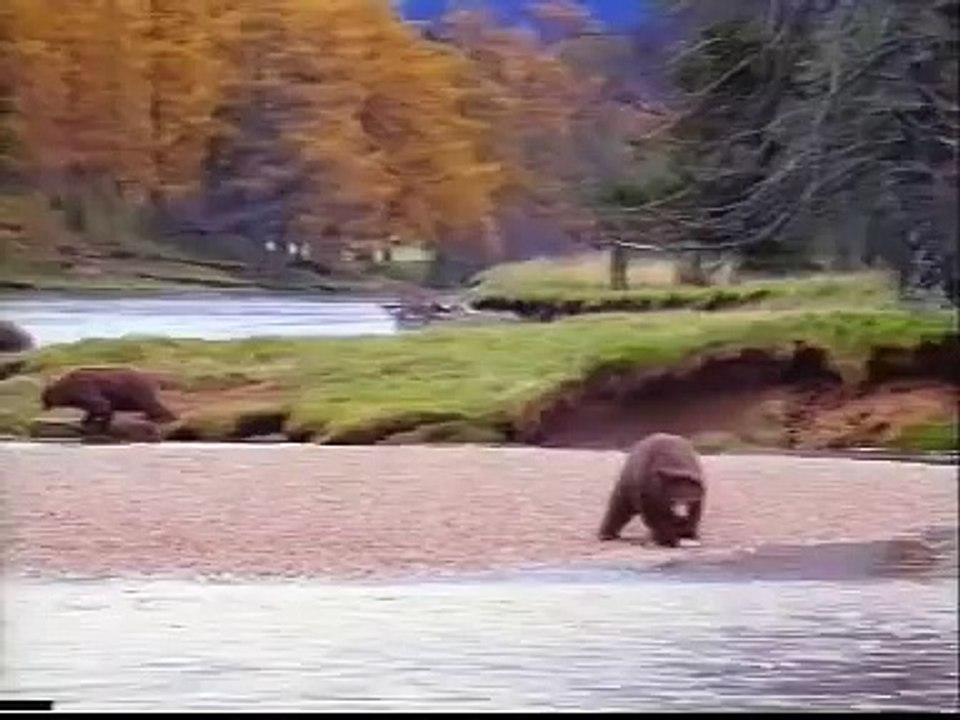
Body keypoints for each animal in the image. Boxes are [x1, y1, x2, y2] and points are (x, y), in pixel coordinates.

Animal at [41, 367, 177, 435]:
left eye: (44, 398)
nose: (42, 407)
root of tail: (154, 379)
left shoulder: (85, 390)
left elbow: (102, 405)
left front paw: (101, 424)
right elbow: (95, 409)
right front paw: (86, 420)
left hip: (139, 392)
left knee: (153, 406)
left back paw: (158, 418)